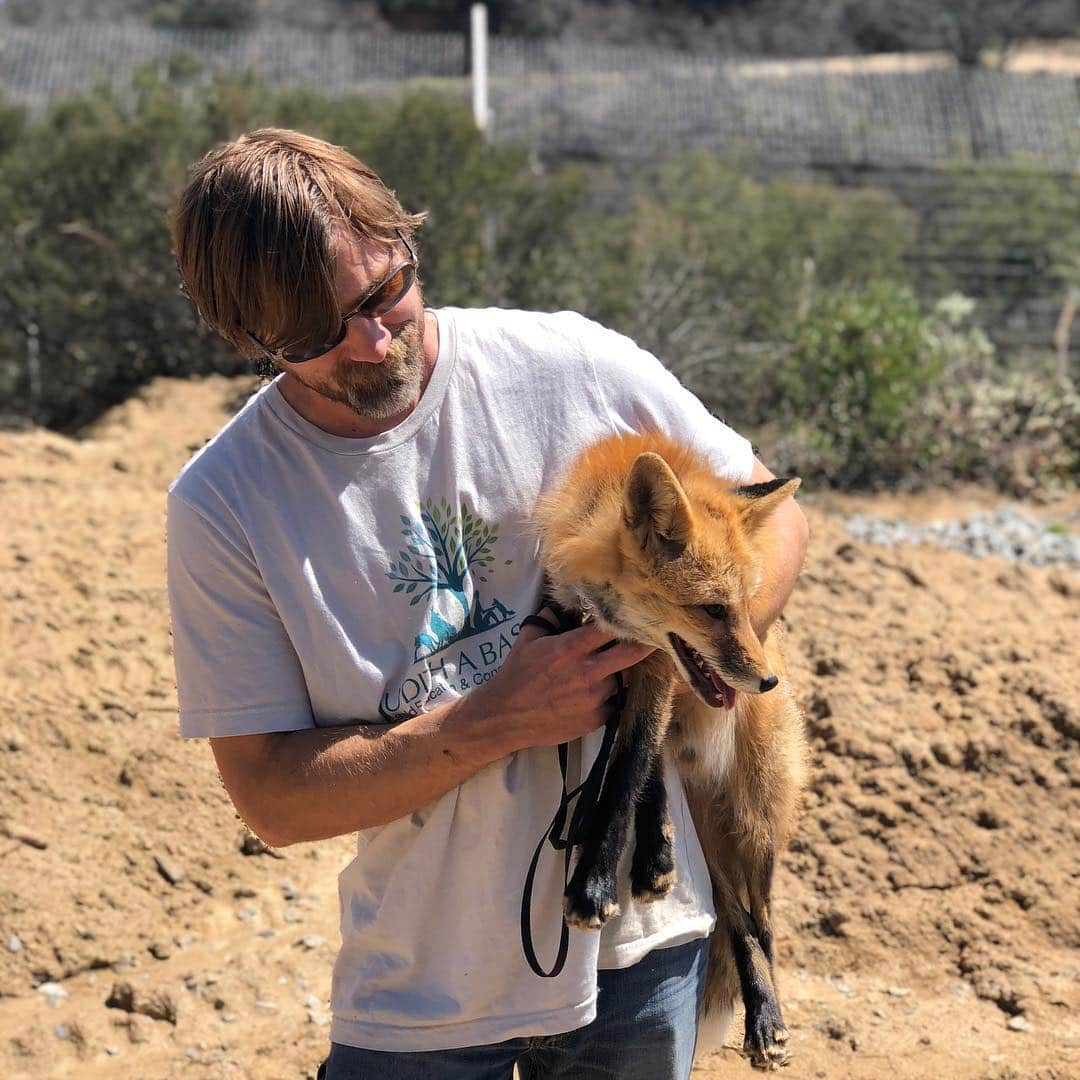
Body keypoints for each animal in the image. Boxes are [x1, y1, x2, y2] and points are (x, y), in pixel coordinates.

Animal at [535, 429, 807, 1071]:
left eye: (747, 604)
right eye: (712, 609)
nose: (765, 682)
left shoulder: (655, 667)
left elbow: (626, 771)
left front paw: (594, 883)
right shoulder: (601, 653)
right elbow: (636, 767)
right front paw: (642, 855)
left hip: (757, 827)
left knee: (761, 925)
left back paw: (769, 1019)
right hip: (711, 830)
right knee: (734, 916)